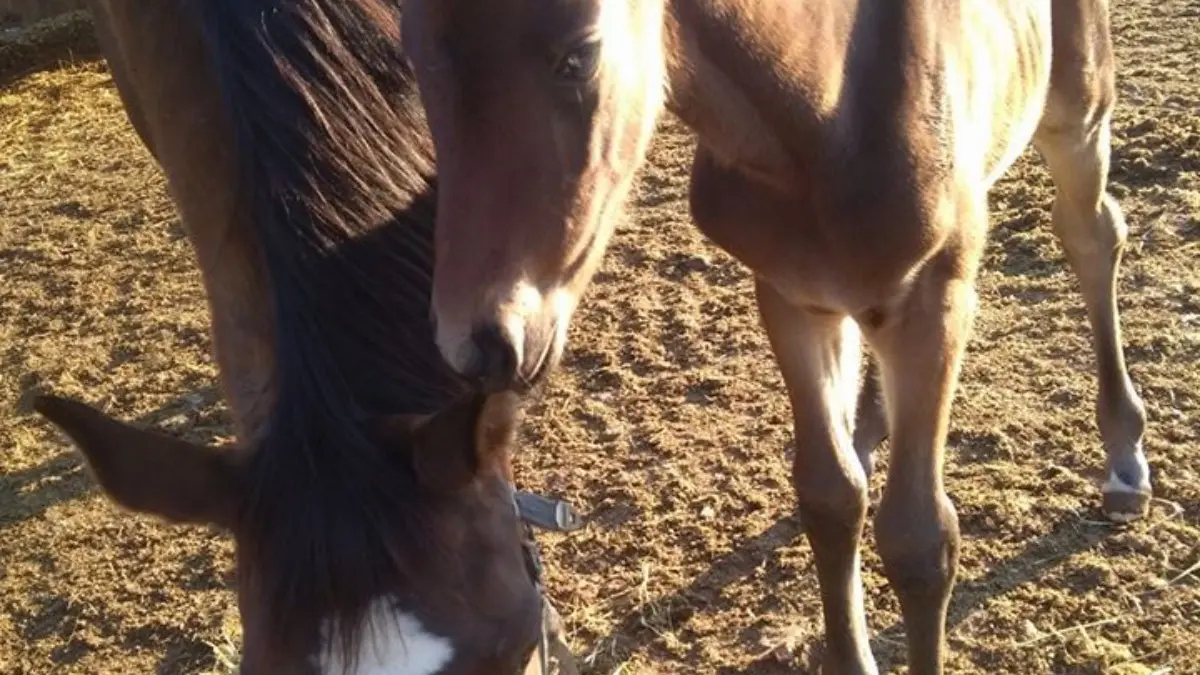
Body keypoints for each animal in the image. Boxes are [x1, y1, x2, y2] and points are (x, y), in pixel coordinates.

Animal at [405, 0, 1152, 667]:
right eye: (413, 58)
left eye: (579, 56)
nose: (478, 342)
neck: (825, 108)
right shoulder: (792, 297)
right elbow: (830, 496)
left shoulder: (935, 303)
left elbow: (918, 539)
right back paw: (870, 427)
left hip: (1079, 112)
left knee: (1093, 235)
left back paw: (1123, 455)